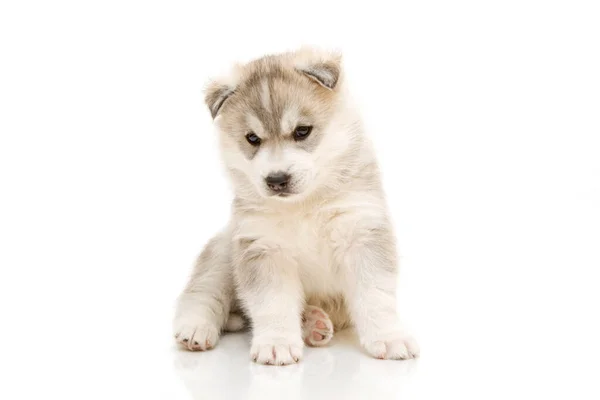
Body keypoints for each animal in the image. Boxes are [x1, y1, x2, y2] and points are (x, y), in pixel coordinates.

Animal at [172, 48, 418, 364]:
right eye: (252, 138)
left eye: (302, 131)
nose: (277, 179)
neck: (305, 206)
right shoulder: (263, 247)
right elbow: (273, 304)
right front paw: (276, 343)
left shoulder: (361, 231)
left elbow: (376, 295)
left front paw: (389, 337)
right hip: (223, 254)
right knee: (202, 292)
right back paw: (195, 329)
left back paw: (313, 322)